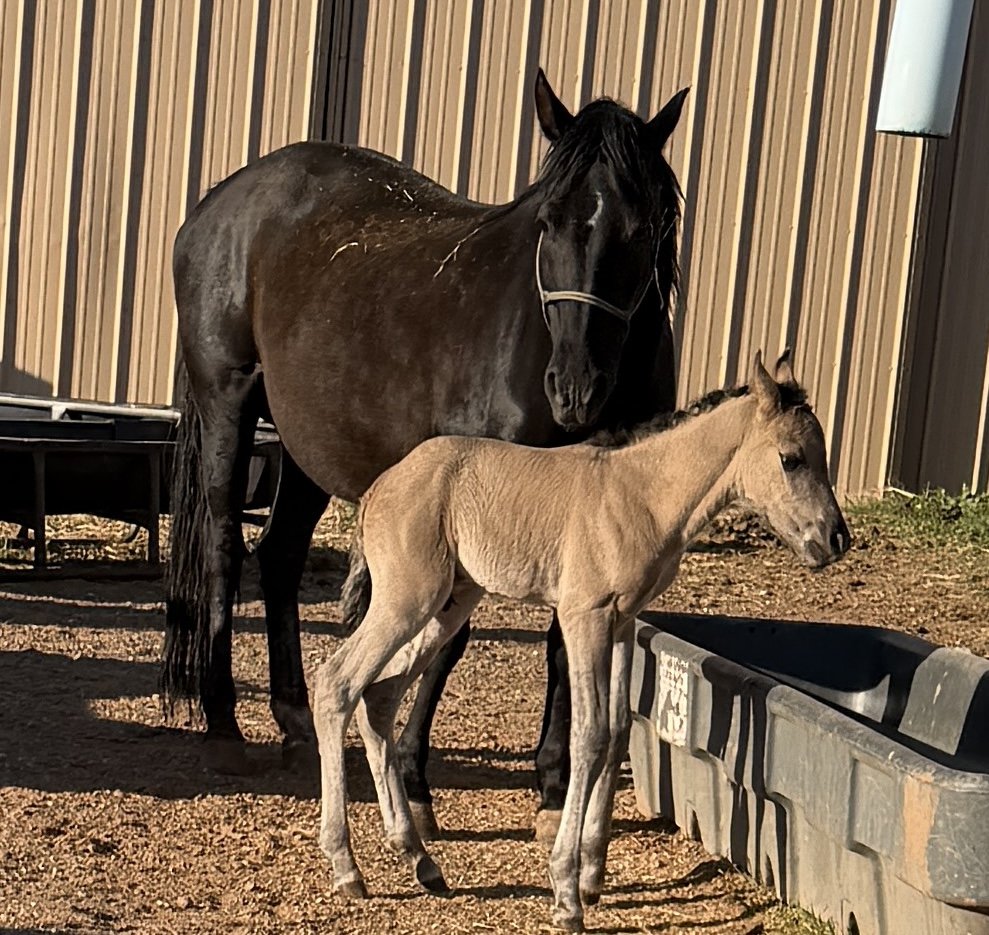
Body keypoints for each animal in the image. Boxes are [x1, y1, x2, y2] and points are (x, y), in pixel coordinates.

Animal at [163, 69, 688, 838]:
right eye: (548, 219)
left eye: (642, 227)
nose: (575, 389)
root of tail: (215, 204)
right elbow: (450, 638)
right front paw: (412, 780)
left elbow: (562, 641)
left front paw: (552, 786)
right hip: (227, 404)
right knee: (225, 551)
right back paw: (225, 726)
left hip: (305, 444)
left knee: (280, 555)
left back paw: (295, 717)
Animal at [313, 350, 850, 932]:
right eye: (791, 459)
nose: (835, 539)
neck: (645, 495)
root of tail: (378, 488)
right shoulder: (582, 616)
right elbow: (589, 736)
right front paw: (567, 892)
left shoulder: (622, 622)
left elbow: (616, 732)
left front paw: (593, 874)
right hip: (408, 600)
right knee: (337, 685)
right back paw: (347, 867)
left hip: (449, 605)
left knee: (379, 696)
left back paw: (419, 858)